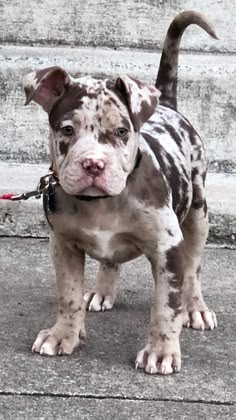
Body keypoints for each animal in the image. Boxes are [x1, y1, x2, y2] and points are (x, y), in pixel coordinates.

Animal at [23, 12, 218, 374]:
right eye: (67, 129)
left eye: (122, 131)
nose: (93, 164)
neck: (101, 204)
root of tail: (165, 104)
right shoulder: (62, 244)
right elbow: (68, 295)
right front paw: (63, 335)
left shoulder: (168, 249)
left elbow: (165, 307)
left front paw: (161, 351)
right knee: (109, 261)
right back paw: (101, 291)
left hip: (198, 213)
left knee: (194, 268)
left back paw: (195, 308)